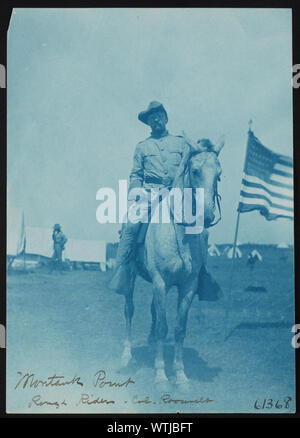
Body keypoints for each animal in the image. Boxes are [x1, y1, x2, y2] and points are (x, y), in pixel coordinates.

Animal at [120, 136, 224, 386]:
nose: (207, 216)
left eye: (219, 175)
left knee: (153, 311)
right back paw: (126, 355)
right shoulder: (160, 281)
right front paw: (160, 374)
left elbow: (178, 328)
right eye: (195, 171)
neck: (179, 231)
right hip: (130, 277)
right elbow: (162, 327)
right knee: (129, 310)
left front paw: (180, 374)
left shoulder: (187, 286)